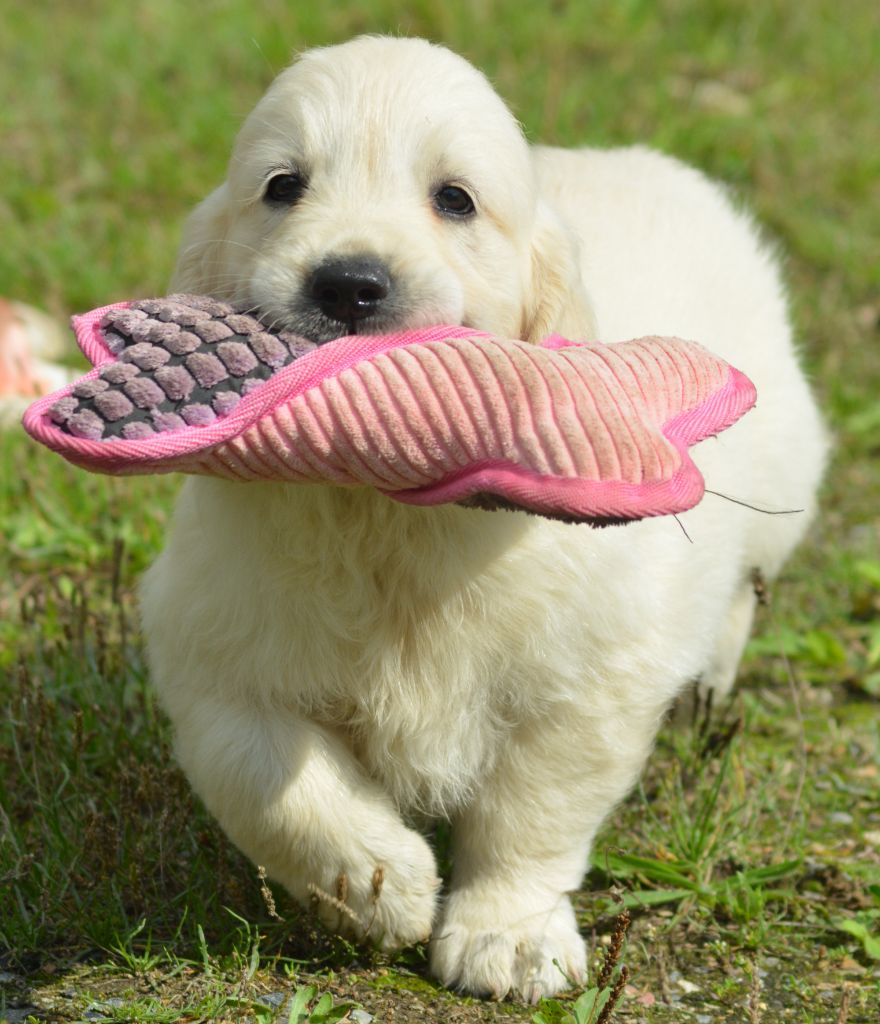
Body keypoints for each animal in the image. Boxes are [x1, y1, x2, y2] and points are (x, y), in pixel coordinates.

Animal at [140, 35, 827, 1002]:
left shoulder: (586, 682)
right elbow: (271, 777)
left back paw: (707, 686)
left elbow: (530, 812)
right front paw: (378, 881)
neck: (382, 514)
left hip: (782, 473)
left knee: (740, 588)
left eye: (454, 199)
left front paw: (511, 935)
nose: (348, 284)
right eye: (283, 186)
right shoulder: (211, 651)